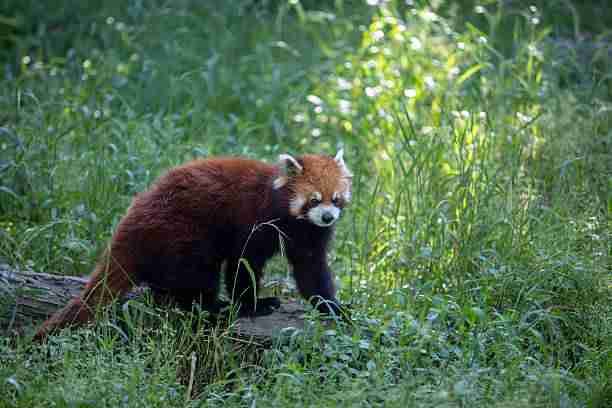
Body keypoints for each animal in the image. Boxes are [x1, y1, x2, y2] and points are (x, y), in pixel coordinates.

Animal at [33, 151, 352, 340]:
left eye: (335, 199)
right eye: (313, 199)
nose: (327, 216)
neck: (292, 220)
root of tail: (129, 226)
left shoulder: (309, 235)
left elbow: (311, 270)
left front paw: (332, 307)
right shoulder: (255, 221)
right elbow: (243, 264)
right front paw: (252, 305)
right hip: (183, 233)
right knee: (197, 276)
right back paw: (215, 307)